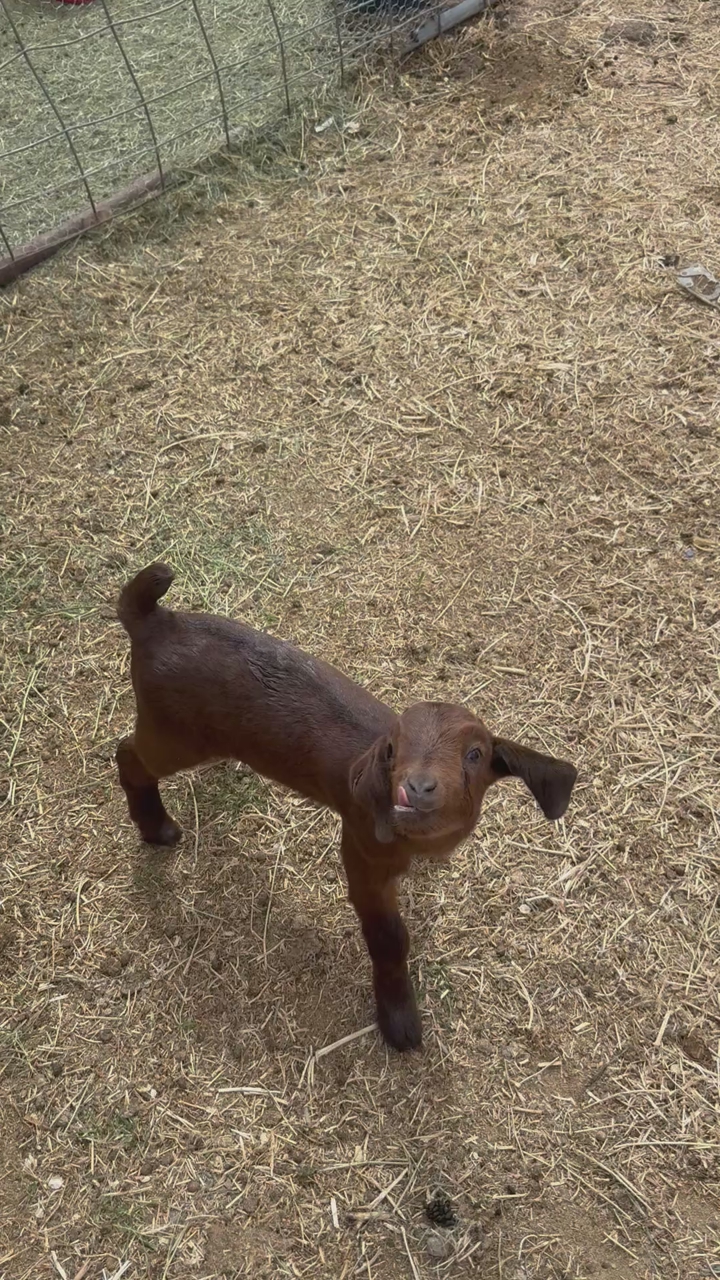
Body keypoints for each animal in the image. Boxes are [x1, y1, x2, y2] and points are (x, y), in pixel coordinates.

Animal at [115, 564, 577, 1052]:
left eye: (475, 754)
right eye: (394, 750)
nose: (416, 788)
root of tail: (154, 620)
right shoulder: (361, 851)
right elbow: (389, 936)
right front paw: (400, 1025)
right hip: (172, 734)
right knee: (129, 754)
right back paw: (158, 829)